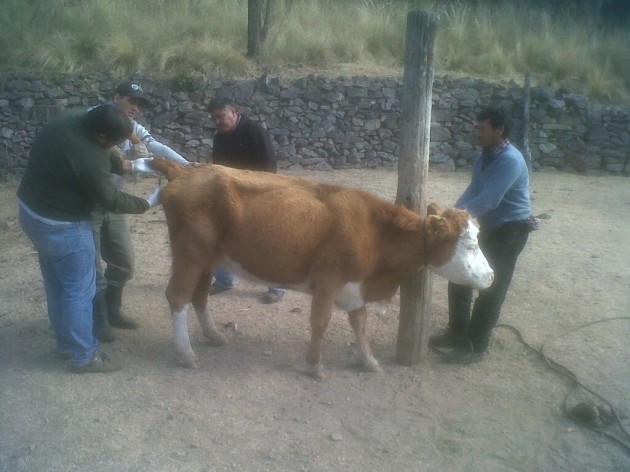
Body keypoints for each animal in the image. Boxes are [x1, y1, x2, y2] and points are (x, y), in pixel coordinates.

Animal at [152, 157, 494, 378]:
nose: (491, 276)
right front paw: (315, 366)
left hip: (209, 259)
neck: (375, 233)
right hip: (190, 253)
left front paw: (369, 361)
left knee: (199, 297)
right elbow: (321, 322)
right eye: (471, 245)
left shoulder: (356, 286)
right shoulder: (328, 280)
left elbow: (360, 323)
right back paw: (186, 354)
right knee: (178, 296)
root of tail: (184, 171)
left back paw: (213, 336)